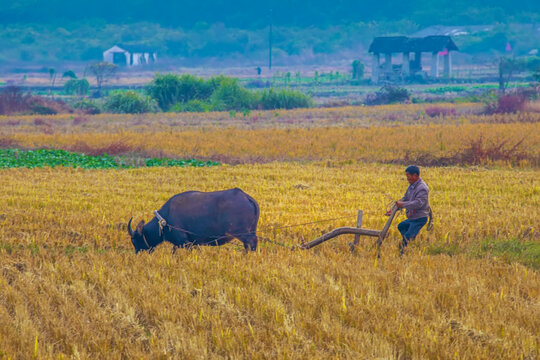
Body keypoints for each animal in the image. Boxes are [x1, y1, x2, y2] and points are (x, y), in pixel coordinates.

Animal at [127, 188, 260, 253]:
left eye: (135, 240)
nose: (137, 253)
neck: (166, 219)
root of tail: (246, 197)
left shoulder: (184, 242)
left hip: (243, 233)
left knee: (251, 243)